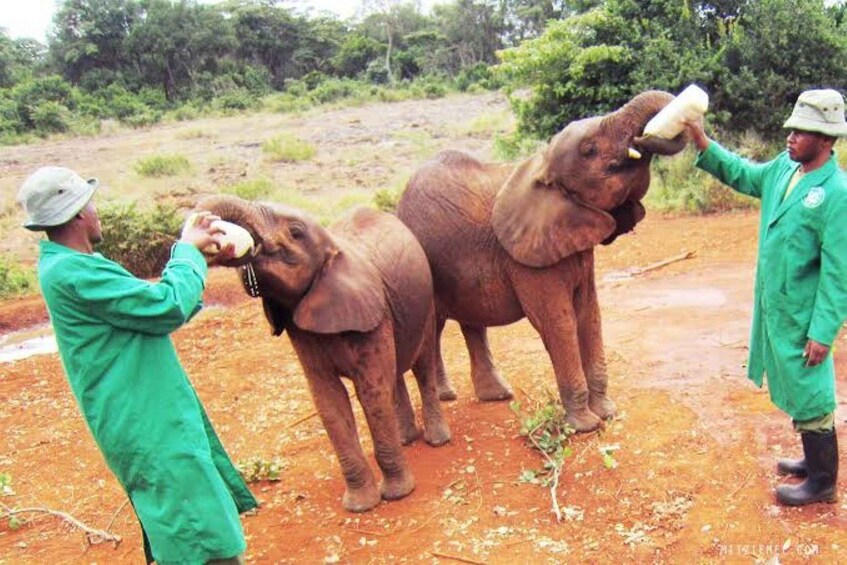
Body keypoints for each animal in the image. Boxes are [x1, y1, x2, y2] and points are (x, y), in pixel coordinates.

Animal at [196, 195, 452, 512]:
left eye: (295, 232)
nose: (214, 233)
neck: (335, 249)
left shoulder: (372, 313)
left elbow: (371, 393)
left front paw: (397, 495)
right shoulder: (301, 329)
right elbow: (328, 400)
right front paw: (360, 506)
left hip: (424, 300)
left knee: (421, 363)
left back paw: (436, 440)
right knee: (395, 373)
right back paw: (406, 439)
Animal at [395, 90, 686, 433]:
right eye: (589, 149)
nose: (648, 134)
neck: (543, 166)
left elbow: (589, 315)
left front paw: (607, 413)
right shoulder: (529, 260)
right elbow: (558, 321)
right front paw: (585, 426)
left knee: (470, 323)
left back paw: (495, 395)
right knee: (434, 327)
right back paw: (447, 396)